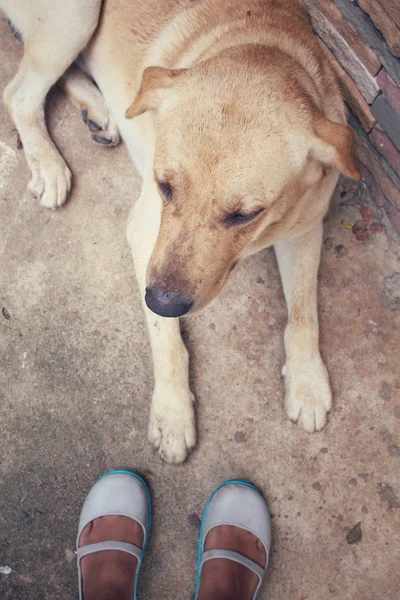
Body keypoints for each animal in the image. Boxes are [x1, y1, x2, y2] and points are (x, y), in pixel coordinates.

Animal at [0, 0, 360, 464]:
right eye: (164, 185)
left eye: (246, 214)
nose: (162, 302)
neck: (261, 45)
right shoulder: (146, 232)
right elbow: (167, 341)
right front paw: (171, 413)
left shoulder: (306, 226)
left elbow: (303, 313)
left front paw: (307, 381)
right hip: (77, 17)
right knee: (20, 92)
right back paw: (47, 161)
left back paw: (98, 110)